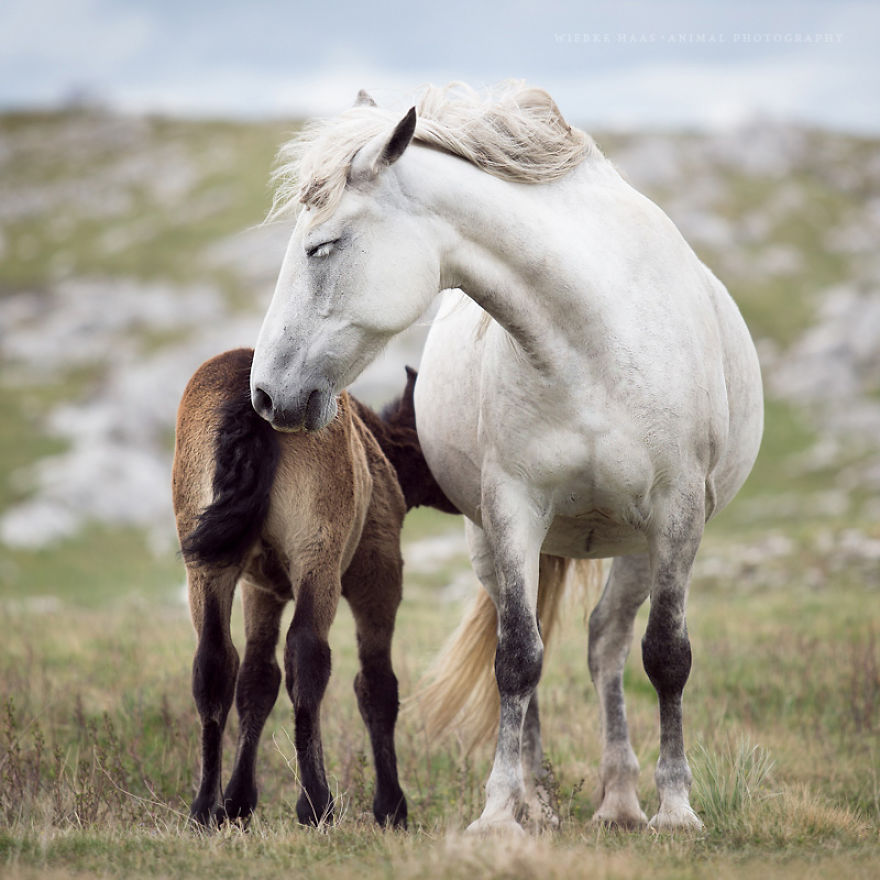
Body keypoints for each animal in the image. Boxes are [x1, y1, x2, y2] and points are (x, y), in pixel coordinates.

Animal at [172, 348, 456, 829]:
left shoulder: (260, 589)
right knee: (307, 655)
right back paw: (316, 803)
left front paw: (239, 801)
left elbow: (256, 680)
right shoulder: (379, 571)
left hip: (208, 564)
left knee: (213, 662)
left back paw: (205, 807)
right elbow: (376, 684)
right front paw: (391, 806)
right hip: (318, 554)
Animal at [249, 82, 764, 834]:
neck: (593, 342)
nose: (265, 394)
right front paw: (500, 812)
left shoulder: (678, 513)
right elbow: (517, 659)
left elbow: (667, 656)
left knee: (608, 643)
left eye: (322, 246)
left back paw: (621, 800)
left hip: (640, 544)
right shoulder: (514, 510)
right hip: (495, 543)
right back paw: (541, 800)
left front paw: (676, 810)